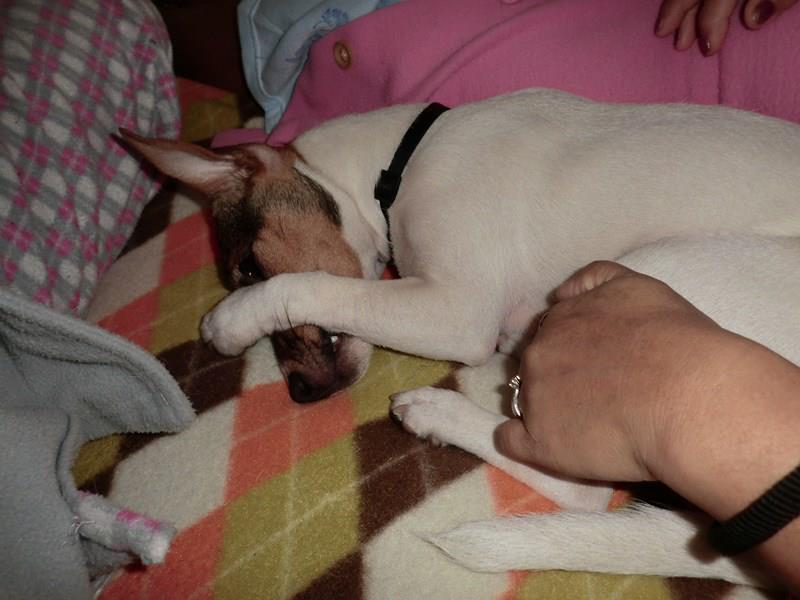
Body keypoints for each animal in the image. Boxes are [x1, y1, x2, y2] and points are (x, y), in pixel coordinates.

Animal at [121, 88, 800, 587]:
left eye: (249, 268)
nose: (303, 394)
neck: (396, 164)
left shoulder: (455, 308)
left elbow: (314, 287)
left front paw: (231, 320)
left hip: (647, 277)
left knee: (579, 489)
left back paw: (437, 411)